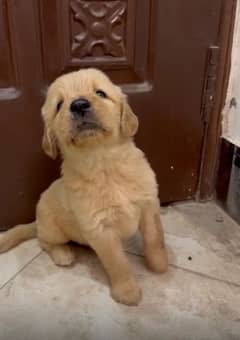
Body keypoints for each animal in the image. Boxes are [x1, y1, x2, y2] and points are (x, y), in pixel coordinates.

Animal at [0, 68, 168, 306]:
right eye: (59, 104)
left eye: (100, 93)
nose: (79, 104)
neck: (103, 163)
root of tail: (37, 221)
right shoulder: (100, 229)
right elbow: (118, 263)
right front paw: (127, 292)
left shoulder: (148, 206)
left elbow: (155, 239)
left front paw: (160, 264)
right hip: (53, 230)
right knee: (44, 241)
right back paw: (62, 254)